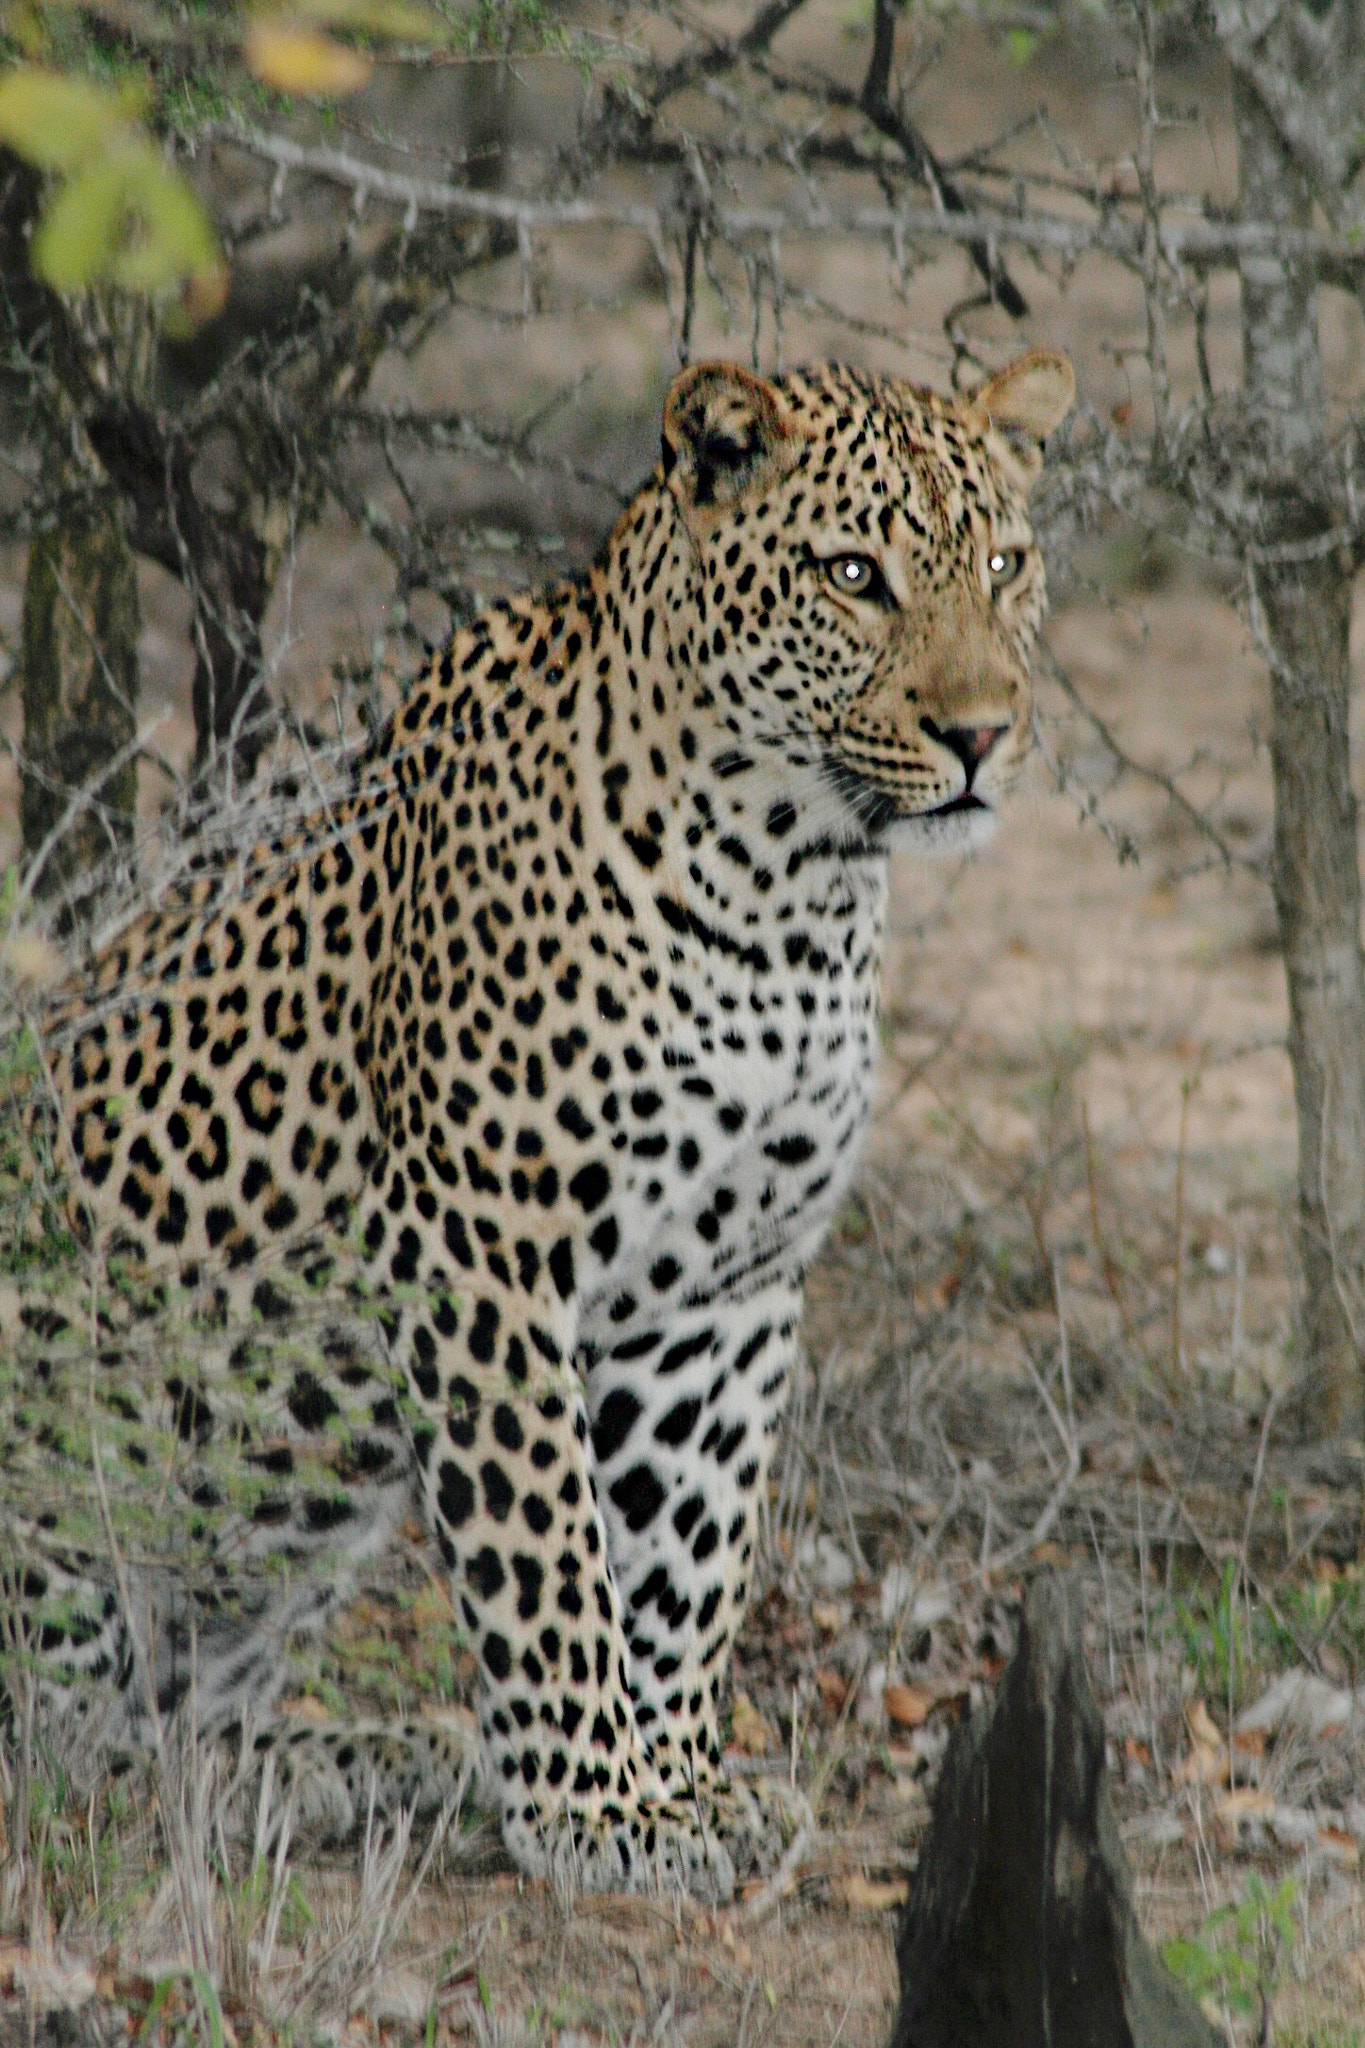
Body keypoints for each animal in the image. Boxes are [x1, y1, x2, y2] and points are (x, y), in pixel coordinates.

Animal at [6, 346, 1073, 1901]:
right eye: (854, 575)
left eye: (1004, 563)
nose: (982, 733)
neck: (795, 889)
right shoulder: (480, 1250)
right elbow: (549, 1545)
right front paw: (598, 1807)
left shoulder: (726, 1287)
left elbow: (688, 1554)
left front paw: (684, 1786)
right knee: (59, 1749)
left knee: (156, 1732)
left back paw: (365, 1755)